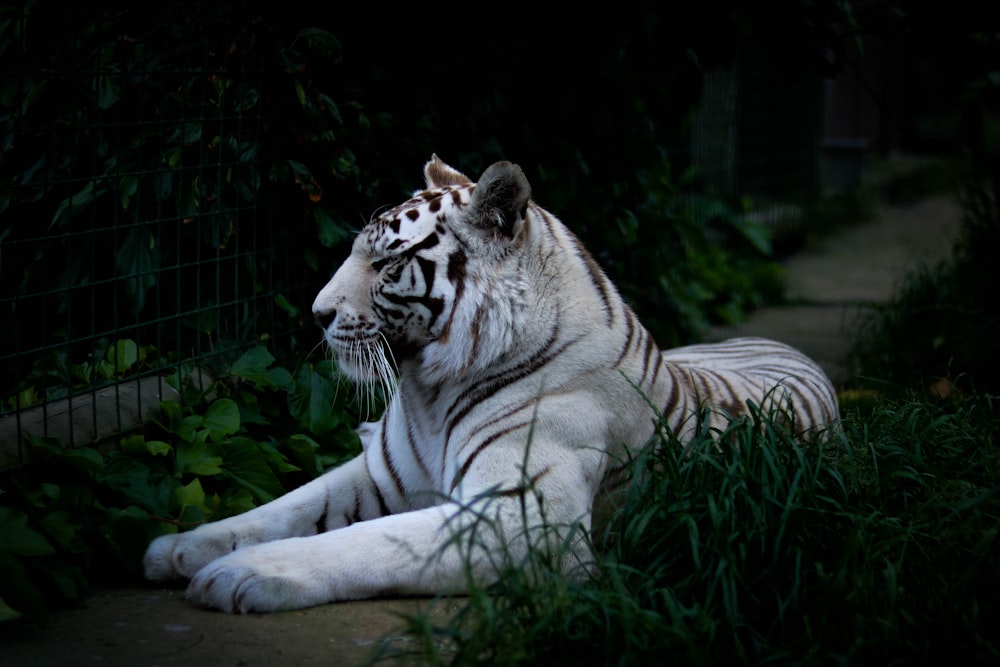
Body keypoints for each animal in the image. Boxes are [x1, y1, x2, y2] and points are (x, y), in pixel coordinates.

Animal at [145, 155, 840, 612]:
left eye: (387, 263)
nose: (316, 314)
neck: (429, 389)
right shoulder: (381, 475)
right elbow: (283, 507)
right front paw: (179, 548)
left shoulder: (520, 518)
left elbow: (362, 541)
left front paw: (241, 574)